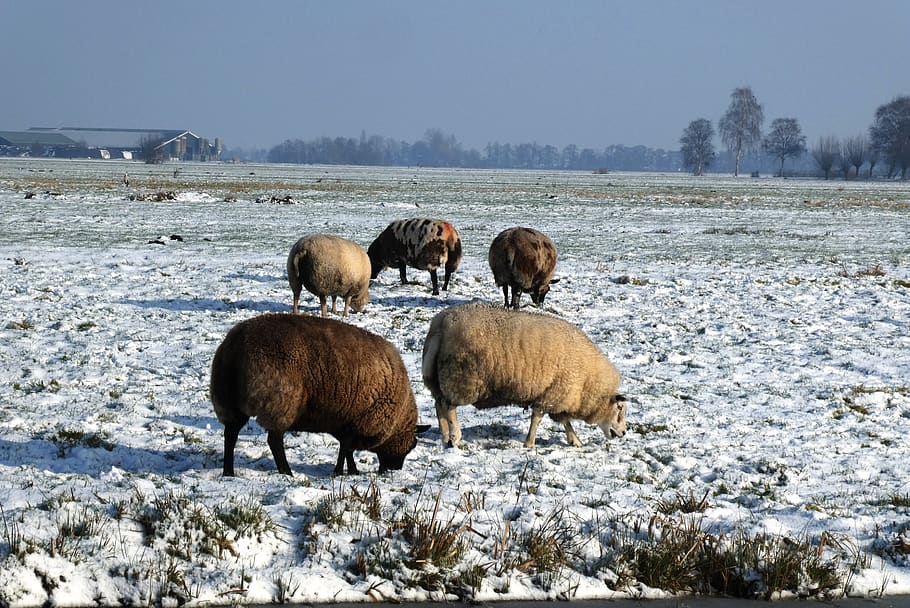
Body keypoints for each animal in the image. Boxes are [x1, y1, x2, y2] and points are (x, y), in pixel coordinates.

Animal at [210, 313, 419, 476]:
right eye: (410, 447)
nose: (394, 470)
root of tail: (235, 345)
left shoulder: (345, 421)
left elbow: (346, 449)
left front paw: (351, 470)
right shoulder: (359, 420)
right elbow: (346, 449)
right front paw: (341, 472)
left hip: (227, 401)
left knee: (230, 435)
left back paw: (228, 472)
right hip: (279, 402)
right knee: (274, 441)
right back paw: (286, 472)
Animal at [421, 302, 627, 448]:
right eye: (619, 408)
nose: (624, 433)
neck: (587, 384)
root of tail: (441, 323)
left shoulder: (557, 397)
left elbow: (565, 421)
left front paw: (574, 440)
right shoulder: (552, 395)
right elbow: (537, 418)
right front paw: (529, 443)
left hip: (438, 379)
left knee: (439, 405)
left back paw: (445, 437)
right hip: (461, 378)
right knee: (448, 406)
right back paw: (455, 436)